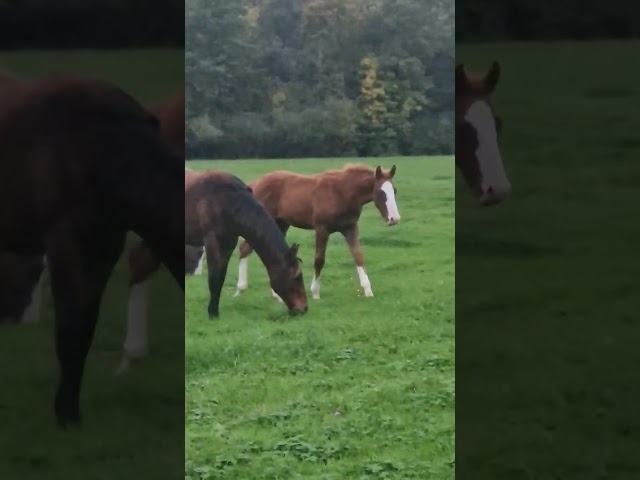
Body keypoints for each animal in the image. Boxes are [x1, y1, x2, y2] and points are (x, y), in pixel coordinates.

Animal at [185, 168, 309, 319]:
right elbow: (214, 277)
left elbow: (221, 277)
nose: (304, 308)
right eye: (297, 276)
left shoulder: (228, 243)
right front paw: (212, 313)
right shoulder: (212, 240)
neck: (228, 201)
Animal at [234, 164, 400, 300]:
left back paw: (276, 295)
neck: (341, 192)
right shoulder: (322, 228)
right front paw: (315, 292)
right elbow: (319, 260)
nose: (394, 219)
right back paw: (240, 289)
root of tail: (255, 184)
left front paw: (368, 290)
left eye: (395, 191)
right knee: (244, 248)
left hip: (281, 223)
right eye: (381, 192)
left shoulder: (350, 228)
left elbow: (358, 256)